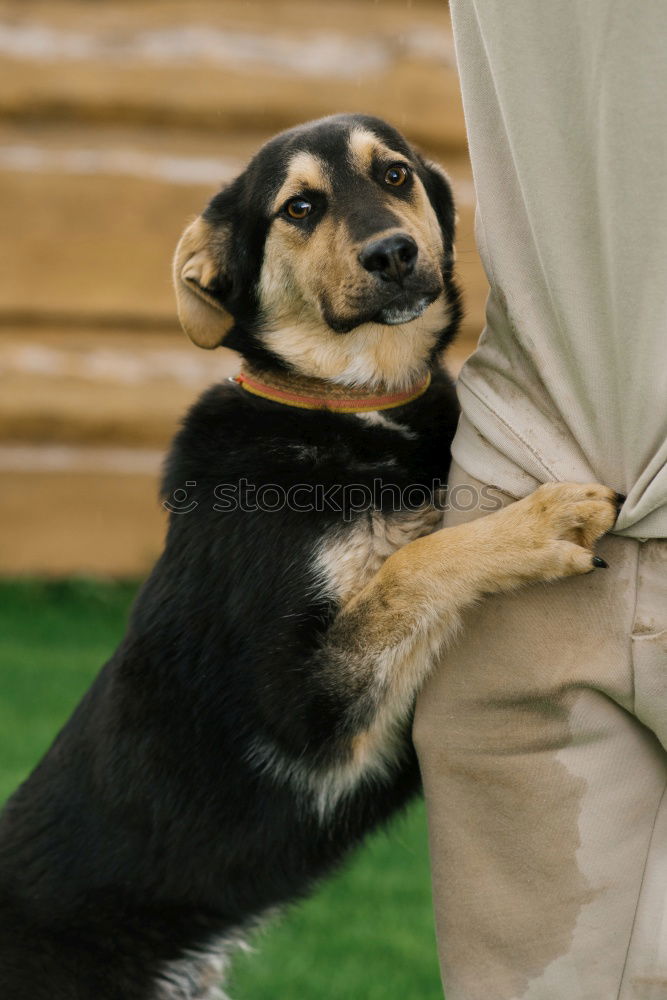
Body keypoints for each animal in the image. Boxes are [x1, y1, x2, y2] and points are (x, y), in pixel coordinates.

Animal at [0, 113, 620, 996]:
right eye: (298, 207)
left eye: (394, 174)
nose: (392, 253)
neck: (349, 405)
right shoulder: (302, 717)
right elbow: (410, 565)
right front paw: (536, 524)